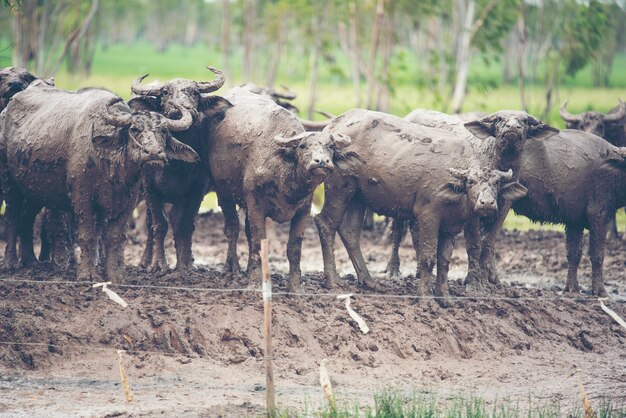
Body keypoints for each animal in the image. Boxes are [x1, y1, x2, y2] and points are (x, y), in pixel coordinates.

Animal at [0, 81, 197, 280]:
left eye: (163, 131)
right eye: (134, 129)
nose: (154, 153)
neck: (110, 164)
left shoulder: (126, 203)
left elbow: (113, 237)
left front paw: (114, 275)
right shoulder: (82, 198)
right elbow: (88, 235)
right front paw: (87, 274)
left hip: (33, 190)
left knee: (26, 219)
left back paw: (30, 262)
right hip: (9, 183)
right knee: (12, 218)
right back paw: (10, 262)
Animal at [129, 67, 232, 272]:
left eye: (195, 92)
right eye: (165, 92)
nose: (180, 109)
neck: (176, 165)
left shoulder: (196, 190)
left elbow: (185, 225)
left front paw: (184, 265)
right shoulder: (151, 189)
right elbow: (159, 224)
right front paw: (158, 264)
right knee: (150, 223)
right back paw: (145, 261)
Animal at [207, 87, 358, 290]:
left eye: (331, 146)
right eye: (302, 146)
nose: (322, 162)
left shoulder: (304, 210)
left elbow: (293, 248)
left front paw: (295, 288)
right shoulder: (255, 204)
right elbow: (258, 241)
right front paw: (255, 283)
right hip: (224, 193)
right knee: (232, 228)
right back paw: (232, 271)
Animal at [312, 108, 528, 306]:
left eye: (496, 183)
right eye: (471, 182)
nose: (487, 203)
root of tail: (334, 125)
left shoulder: (452, 226)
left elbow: (444, 261)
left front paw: (445, 298)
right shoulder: (428, 215)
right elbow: (427, 257)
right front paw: (426, 298)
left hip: (358, 195)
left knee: (349, 231)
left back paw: (369, 281)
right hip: (339, 187)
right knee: (325, 223)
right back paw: (333, 280)